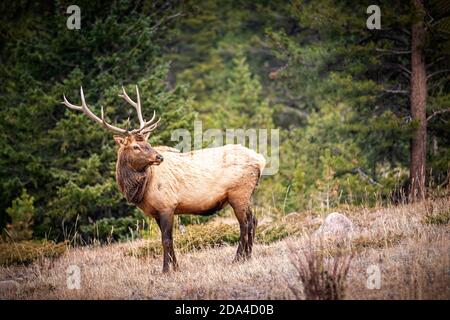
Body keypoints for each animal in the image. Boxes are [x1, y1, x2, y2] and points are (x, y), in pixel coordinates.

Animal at [63, 85, 268, 272]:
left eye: (147, 142)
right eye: (136, 146)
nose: (159, 157)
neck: (141, 189)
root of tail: (260, 160)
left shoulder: (167, 205)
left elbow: (167, 239)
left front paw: (166, 269)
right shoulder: (155, 212)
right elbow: (166, 239)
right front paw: (175, 267)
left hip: (238, 193)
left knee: (245, 224)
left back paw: (239, 258)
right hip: (244, 195)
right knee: (254, 220)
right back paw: (248, 256)